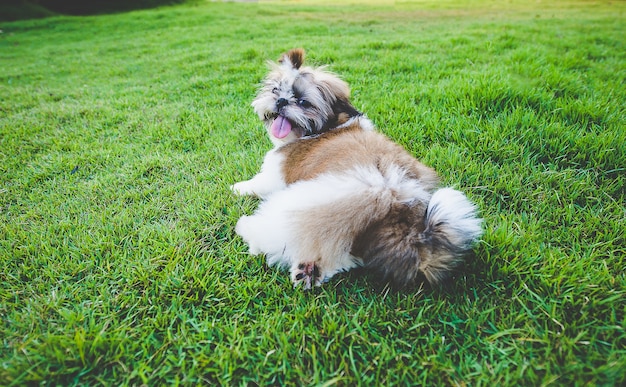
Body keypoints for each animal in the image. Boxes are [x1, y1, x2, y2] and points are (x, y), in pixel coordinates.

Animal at [232, 48, 480, 290]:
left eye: (303, 102)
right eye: (275, 90)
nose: (282, 100)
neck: (328, 126)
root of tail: (398, 208)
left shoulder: (275, 175)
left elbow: (257, 183)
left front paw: (238, 187)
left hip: (304, 206)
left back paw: (248, 228)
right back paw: (309, 270)